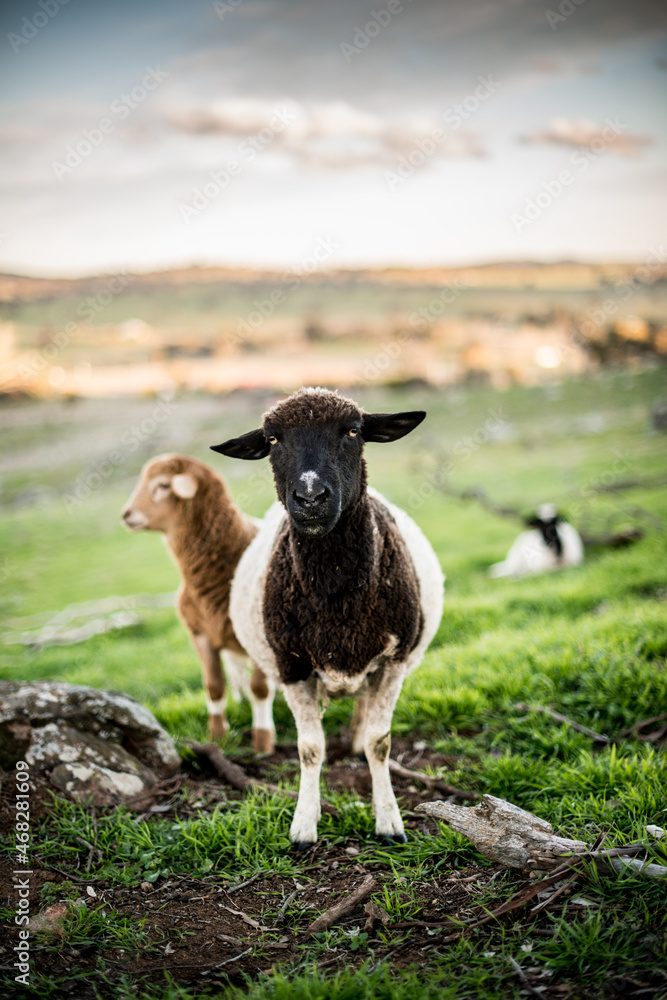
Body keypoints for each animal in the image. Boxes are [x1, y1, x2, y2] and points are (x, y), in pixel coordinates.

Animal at [121, 453, 276, 751]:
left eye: (162, 485)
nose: (126, 514)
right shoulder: (201, 634)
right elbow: (213, 686)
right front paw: (217, 736)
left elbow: (260, 689)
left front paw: (263, 742)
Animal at [211, 388, 445, 848]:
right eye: (272, 440)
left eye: (352, 431)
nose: (311, 497)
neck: (336, 597)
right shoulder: (292, 667)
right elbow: (310, 749)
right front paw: (304, 826)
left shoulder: (393, 661)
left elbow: (380, 742)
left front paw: (389, 823)